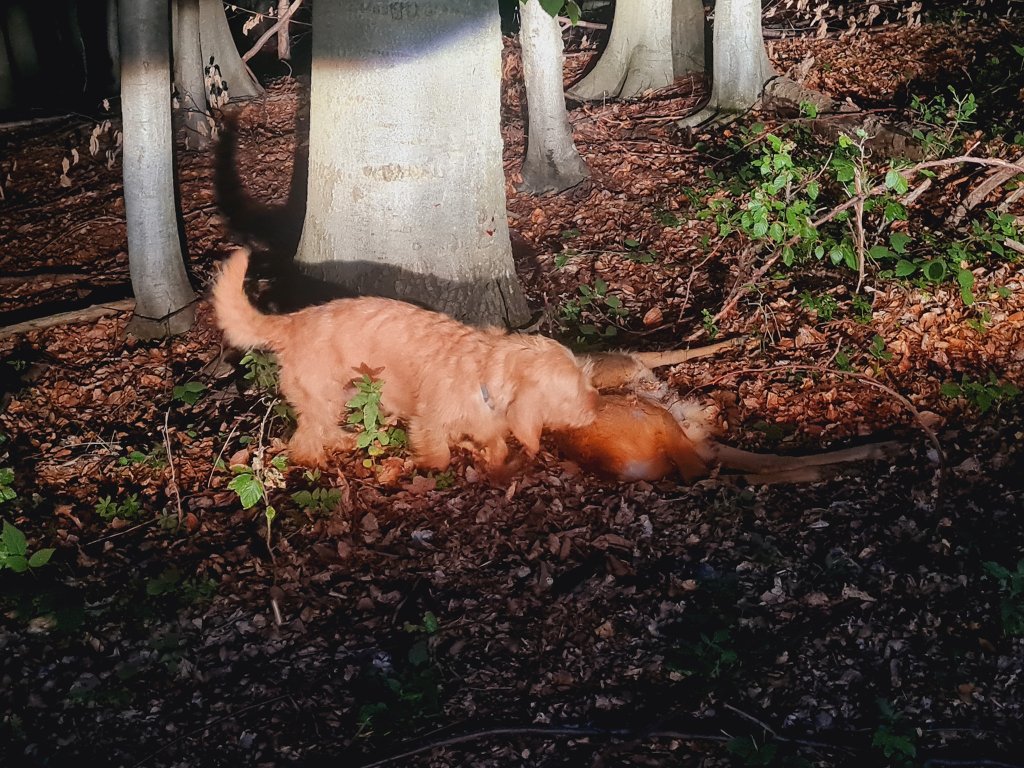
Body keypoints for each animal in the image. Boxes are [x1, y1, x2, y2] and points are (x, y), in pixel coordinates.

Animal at [211, 248, 599, 470]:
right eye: (571, 393)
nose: (597, 409)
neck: (485, 369)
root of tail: (293, 320)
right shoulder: (428, 422)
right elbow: (439, 455)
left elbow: (495, 445)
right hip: (323, 396)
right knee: (304, 442)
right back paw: (317, 464)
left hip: (343, 393)